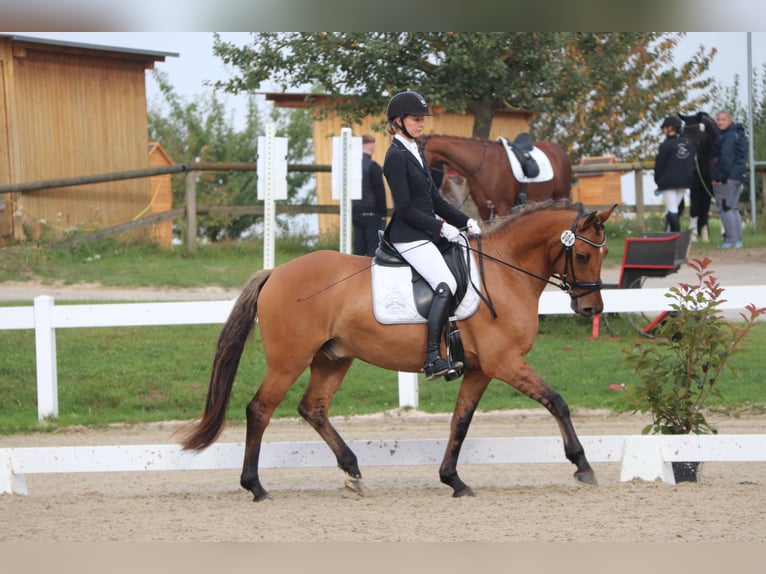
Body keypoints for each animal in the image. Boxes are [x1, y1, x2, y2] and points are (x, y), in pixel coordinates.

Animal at [182, 200, 616, 502]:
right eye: (581, 255)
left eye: (604, 254)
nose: (591, 309)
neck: (505, 272)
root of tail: (275, 273)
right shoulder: (505, 362)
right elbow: (556, 401)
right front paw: (582, 465)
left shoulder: (481, 369)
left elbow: (460, 422)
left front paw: (453, 480)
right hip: (289, 361)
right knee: (260, 410)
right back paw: (255, 486)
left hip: (333, 358)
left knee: (313, 408)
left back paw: (353, 471)